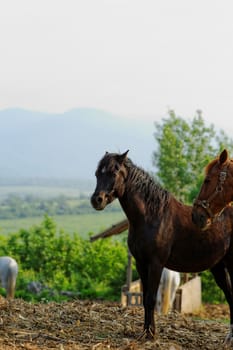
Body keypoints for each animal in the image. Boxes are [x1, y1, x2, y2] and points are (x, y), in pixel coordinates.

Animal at [91, 150, 233, 342]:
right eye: (97, 174)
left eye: (114, 173)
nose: (96, 200)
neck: (152, 216)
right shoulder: (141, 264)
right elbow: (145, 299)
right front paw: (146, 331)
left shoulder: (156, 264)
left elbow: (151, 298)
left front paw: (151, 334)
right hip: (219, 268)